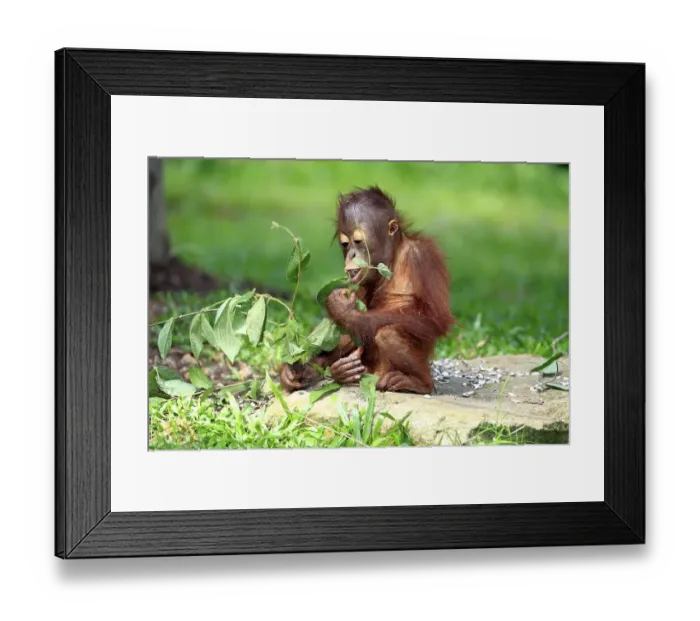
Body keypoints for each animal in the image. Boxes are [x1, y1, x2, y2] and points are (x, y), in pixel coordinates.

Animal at [280, 186, 455, 395]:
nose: (351, 255)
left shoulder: (422, 257)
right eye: (345, 244)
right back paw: (330, 371)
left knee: (387, 333)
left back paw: (418, 382)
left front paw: (344, 310)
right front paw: (297, 368)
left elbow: (435, 318)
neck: (393, 259)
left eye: (358, 241)